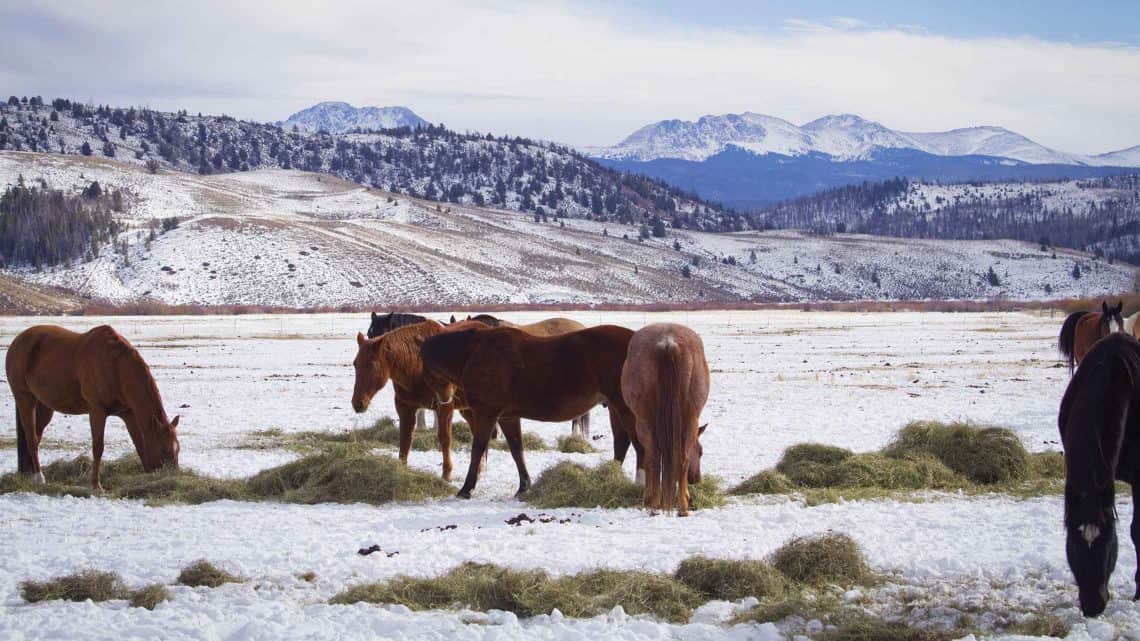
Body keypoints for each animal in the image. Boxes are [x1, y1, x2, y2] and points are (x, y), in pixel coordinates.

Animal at [5, 323, 180, 488]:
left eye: (177, 449)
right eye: (164, 450)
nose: (174, 476)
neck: (115, 366)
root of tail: (17, 341)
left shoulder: (128, 414)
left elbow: (139, 444)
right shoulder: (97, 411)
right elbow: (98, 447)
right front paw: (96, 485)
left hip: (44, 405)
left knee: (37, 435)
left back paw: (29, 474)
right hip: (25, 399)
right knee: (31, 438)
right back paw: (39, 477)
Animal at [421, 321, 642, 497]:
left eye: (425, 369)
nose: (444, 400)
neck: (474, 353)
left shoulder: (487, 414)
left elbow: (478, 449)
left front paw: (466, 489)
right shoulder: (507, 417)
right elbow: (516, 449)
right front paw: (524, 486)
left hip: (626, 409)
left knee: (639, 445)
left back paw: (639, 484)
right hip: (615, 408)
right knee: (621, 443)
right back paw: (611, 477)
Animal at [620, 323, 706, 513]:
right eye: (701, 451)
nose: (697, 480)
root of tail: (669, 343)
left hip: (647, 423)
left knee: (653, 457)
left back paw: (655, 502)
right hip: (687, 421)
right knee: (678, 459)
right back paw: (679, 506)